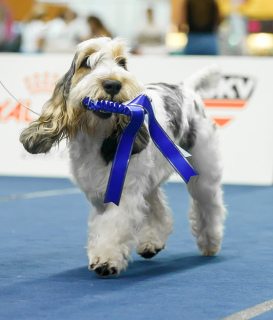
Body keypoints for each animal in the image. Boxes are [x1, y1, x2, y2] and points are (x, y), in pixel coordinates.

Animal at [19, 37, 225, 276]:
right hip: (150, 177)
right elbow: (102, 223)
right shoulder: (100, 191)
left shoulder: (125, 189)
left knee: (209, 205)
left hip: (202, 172)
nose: (113, 84)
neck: (98, 134)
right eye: (86, 62)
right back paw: (152, 242)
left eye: (122, 63)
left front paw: (106, 259)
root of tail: (185, 89)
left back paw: (210, 242)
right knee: (156, 206)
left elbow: (115, 223)